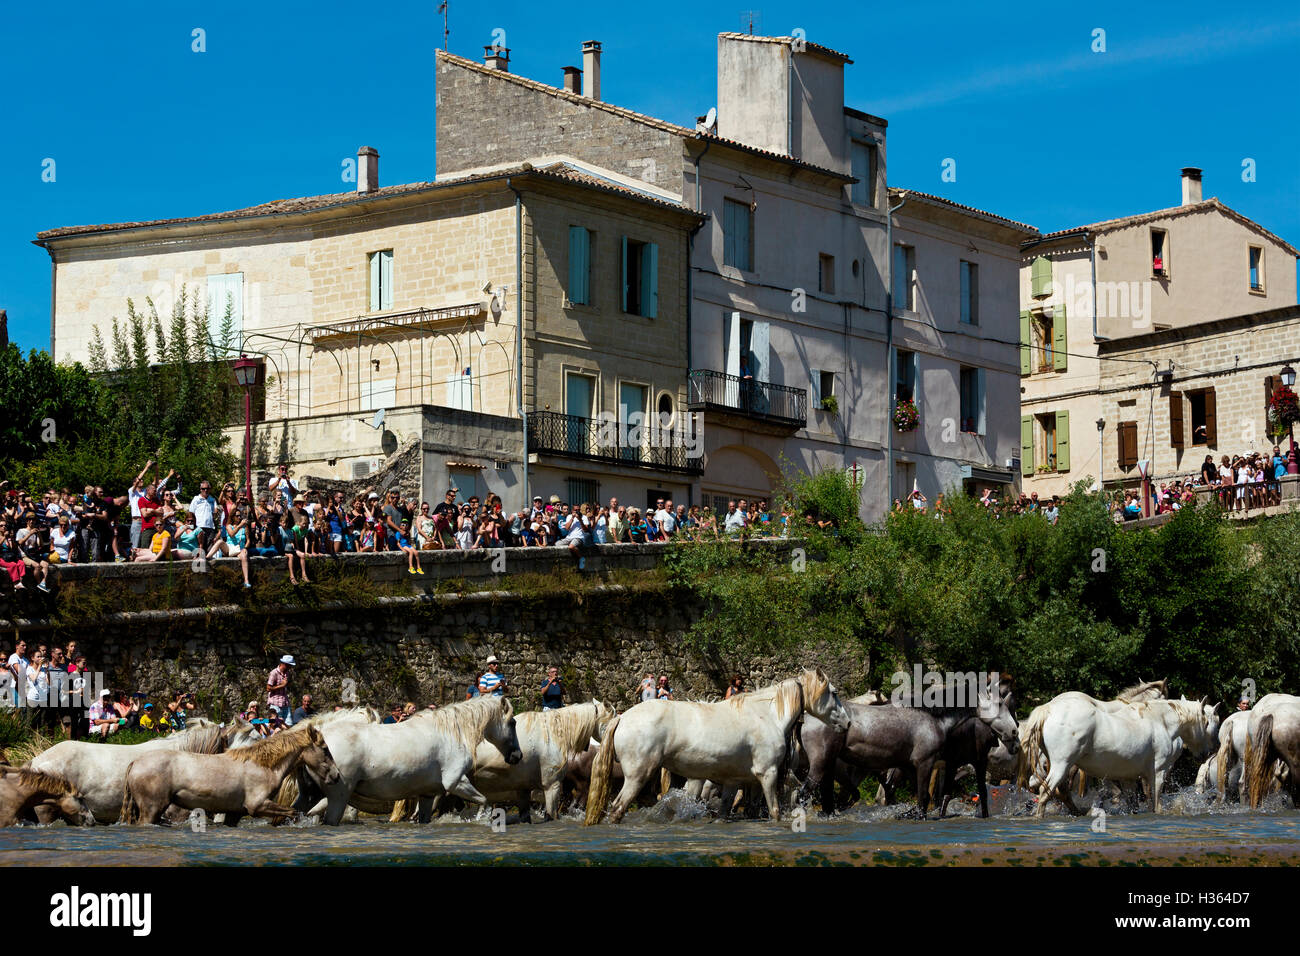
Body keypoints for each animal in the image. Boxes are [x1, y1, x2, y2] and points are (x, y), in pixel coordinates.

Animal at [297, 697, 520, 822]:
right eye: (513, 722)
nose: (517, 756)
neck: (451, 733)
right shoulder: (455, 782)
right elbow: (484, 801)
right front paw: (483, 819)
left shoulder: (428, 795)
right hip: (338, 797)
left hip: (311, 797)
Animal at [475, 697, 616, 827]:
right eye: (615, 720)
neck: (552, 734)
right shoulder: (552, 786)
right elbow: (551, 817)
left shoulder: (523, 790)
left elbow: (525, 818)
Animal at [585, 671, 847, 827]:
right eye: (833, 693)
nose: (846, 723)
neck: (766, 715)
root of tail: (622, 718)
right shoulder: (767, 774)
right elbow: (774, 811)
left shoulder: (733, 781)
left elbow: (724, 812)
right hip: (637, 776)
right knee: (618, 808)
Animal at [1013, 697, 1216, 816]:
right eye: (1206, 722)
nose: (1206, 754)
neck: (1160, 722)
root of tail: (1048, 710)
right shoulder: (1157, 773)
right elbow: (1156, 805)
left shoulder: (1128, 778)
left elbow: (1133, 806)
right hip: (1061, 765)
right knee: (1045, 793)